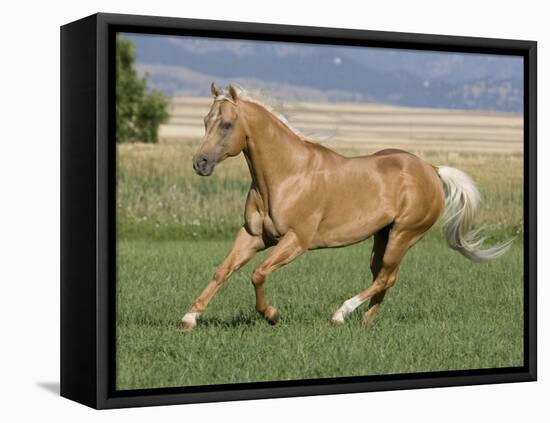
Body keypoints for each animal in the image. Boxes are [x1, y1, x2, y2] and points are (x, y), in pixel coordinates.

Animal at [181, 84, 512, 332]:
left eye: (227, 124)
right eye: (205, 122)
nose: (200, 163)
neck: (287, 175)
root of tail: (431, 169)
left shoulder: (296, 241)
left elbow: (258, 274)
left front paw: (271, 314)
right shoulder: (254, 236)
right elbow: (222, 271)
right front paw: (189, 318)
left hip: (404, 234)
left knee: (386, 277)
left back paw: (341, 314)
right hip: (383, 235)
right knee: (383, 277)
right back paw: (365, 322)